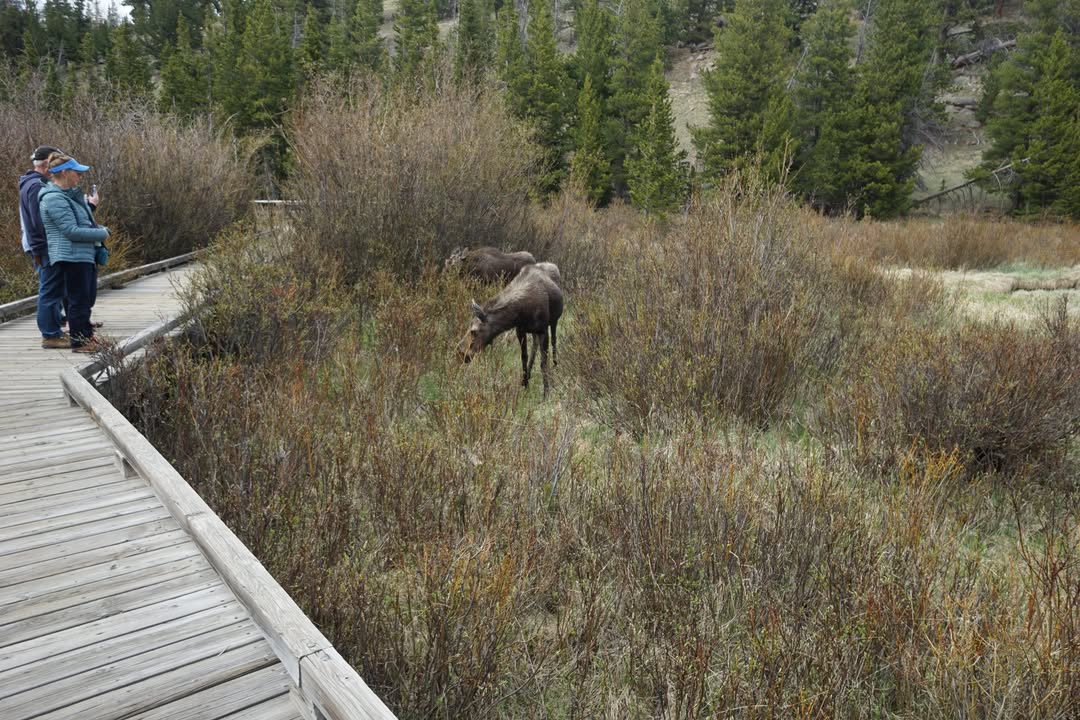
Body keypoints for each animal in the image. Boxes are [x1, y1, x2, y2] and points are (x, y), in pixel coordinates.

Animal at [457, 263, 564, 398]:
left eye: (474, 331)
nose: (461, 352)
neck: (521, 314)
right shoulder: (520, 330)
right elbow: (524, 357)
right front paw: (525, 384)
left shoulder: (543, 329)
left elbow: (543, 362)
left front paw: (546, 392)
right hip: (534, 331)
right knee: (534, 345)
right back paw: (529, 375)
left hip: (554, 321)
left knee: (554, 342)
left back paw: (555, 366)